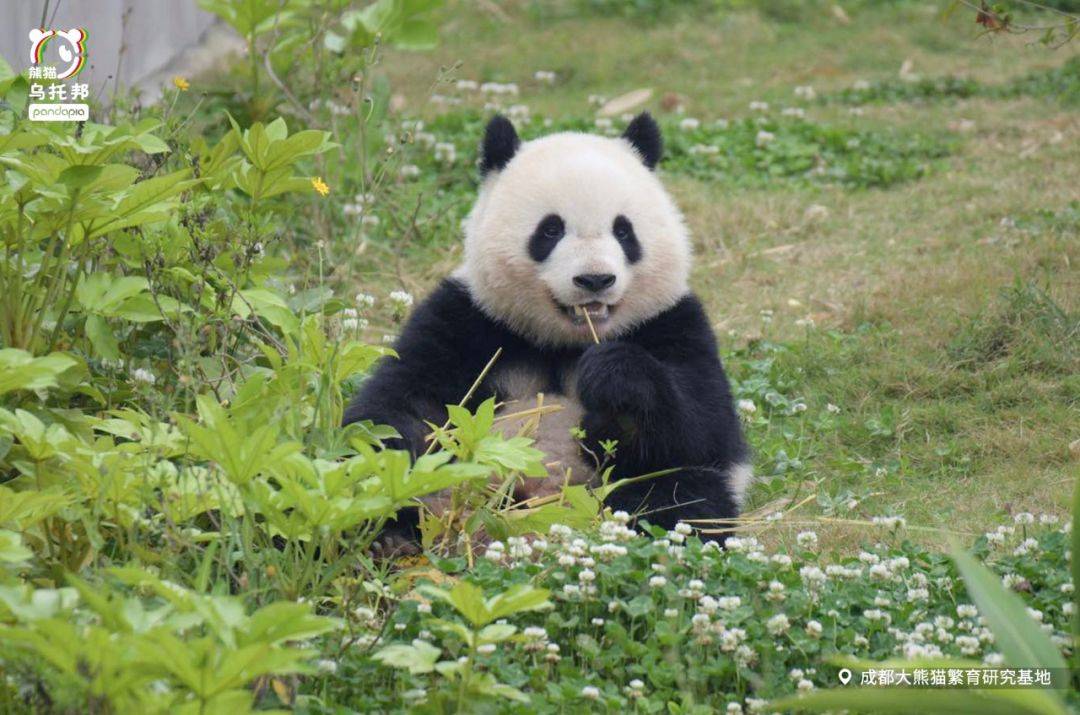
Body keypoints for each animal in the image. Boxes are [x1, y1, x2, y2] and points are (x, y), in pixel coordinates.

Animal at [345, 112, 751, 540]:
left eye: (624, 231)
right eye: (551, 230)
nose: (595, 279)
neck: (565, 342)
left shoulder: (671, 322)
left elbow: (703, 426)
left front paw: (614, 380)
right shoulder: (464, 319)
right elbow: (401, 406)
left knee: (681, 496)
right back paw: (391, 534)